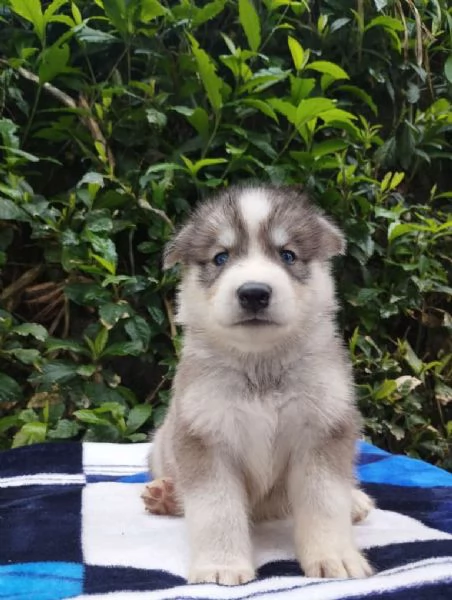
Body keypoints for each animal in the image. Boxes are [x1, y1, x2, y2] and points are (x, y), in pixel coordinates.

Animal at [144, 185, 374, 584]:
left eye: (287, 255)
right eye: (221, 257)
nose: (253, 292)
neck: (261, 368)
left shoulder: (323, 430)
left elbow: (326, 501)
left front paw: (335, 557)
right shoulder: (206, 436)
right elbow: (216, 510)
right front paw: (220, 565)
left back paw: (356, 502)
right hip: (163, 444)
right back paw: (166, 495)